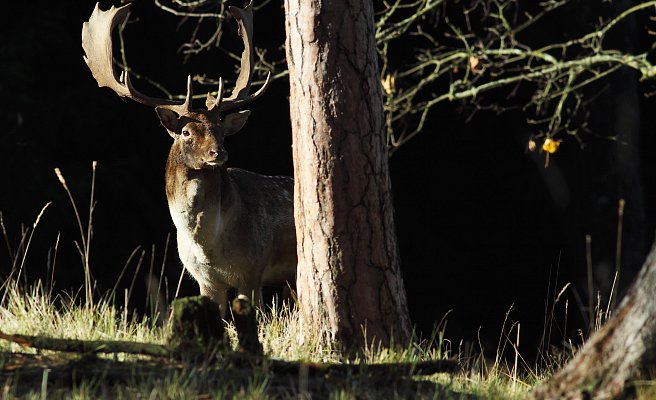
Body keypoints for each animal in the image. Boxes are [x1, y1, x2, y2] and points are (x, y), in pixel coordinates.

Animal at [82, 0, 298, 316]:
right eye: (185, 131)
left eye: (221, 130)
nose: (218, 152)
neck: (209, 247)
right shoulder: (204, 280)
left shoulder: (252, 271)